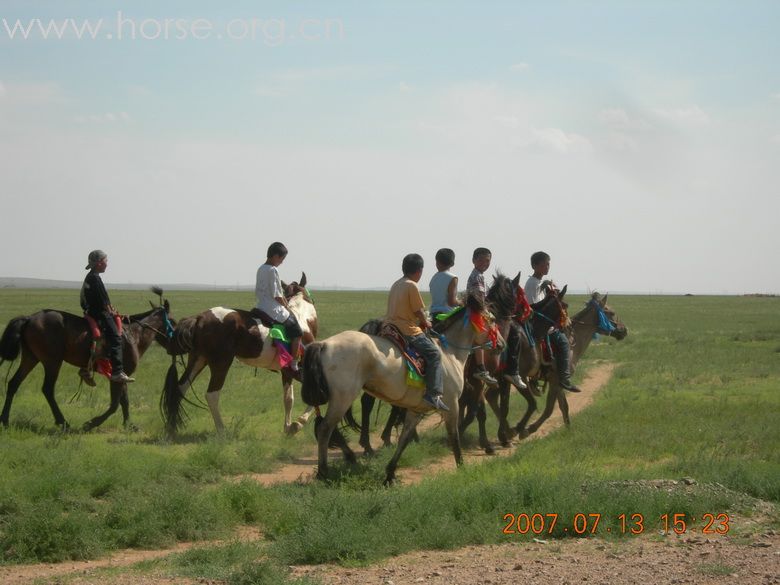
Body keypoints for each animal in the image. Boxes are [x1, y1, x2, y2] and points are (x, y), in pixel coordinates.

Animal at [0, 290, 174, 432]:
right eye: (173, 321)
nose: (175, 342)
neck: (134, 334)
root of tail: (29, 318)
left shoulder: (124, 375)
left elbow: (124, 401)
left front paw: (129, 425)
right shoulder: (117, 375)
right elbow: (114, 404)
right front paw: (91, 423)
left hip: (31, 358)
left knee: (14, 383)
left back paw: (5, 420)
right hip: (52, 362)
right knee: (47, 389)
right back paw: (63, 422)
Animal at [161, 272, 316, 434]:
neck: (302, 319)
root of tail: (199, 318)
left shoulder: (286, 371)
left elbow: (288, 399)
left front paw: (288, 427)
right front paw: (298, 423)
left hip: (198, 360)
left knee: (180, 388)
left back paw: (171, 429)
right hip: (221, 363)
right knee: (212, 395)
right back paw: (222, 431)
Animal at [302, 292, 502, 484]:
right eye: (492, 319)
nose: (501, 344)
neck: (449, 354)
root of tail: (323, 344)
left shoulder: (416, 409)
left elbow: (404, 439)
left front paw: (390, 473)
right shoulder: (452, 404)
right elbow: (454, 436)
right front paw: (461, 467)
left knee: (328, 428)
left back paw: (345, 460)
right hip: (343, 398)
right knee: (325, 429)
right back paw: (324, 472)